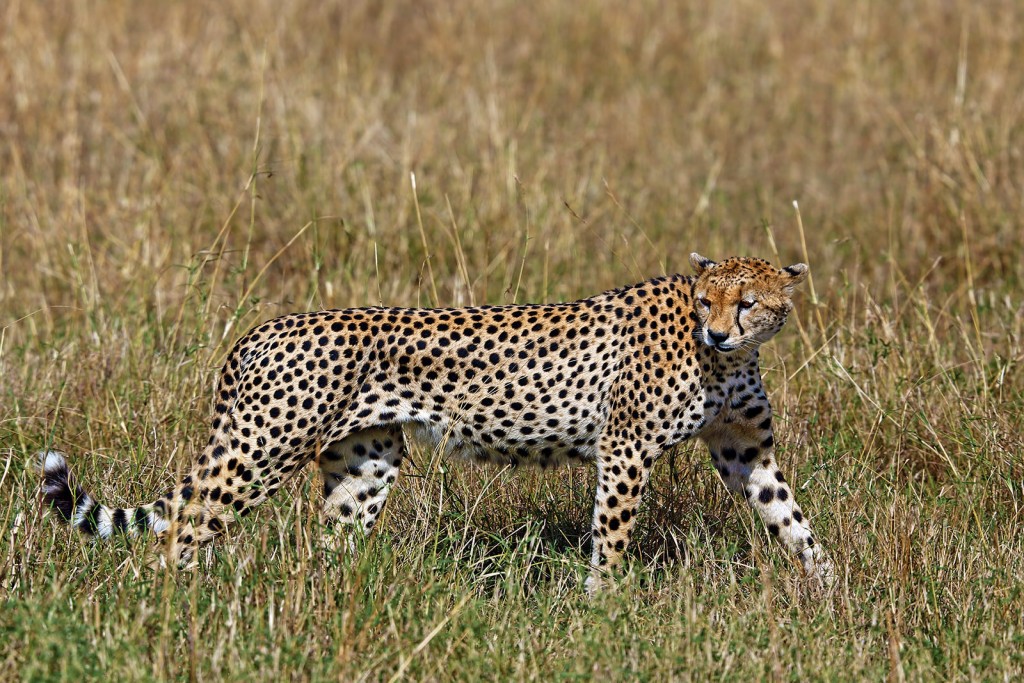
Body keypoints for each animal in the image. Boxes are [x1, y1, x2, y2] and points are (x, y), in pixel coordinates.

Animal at [39, 253, 831, 589]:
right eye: (705, 302)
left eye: (747, 303)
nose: (718, 335)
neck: (728, 361)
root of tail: (257, 331)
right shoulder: (626, 449)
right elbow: (611, 537)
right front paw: (603, 603)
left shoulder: (745, 452)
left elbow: (794, 521)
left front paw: (833, 593)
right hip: (262, 449)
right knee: (181, 530)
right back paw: (173, 608)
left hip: (364, 462)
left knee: (331, 544)